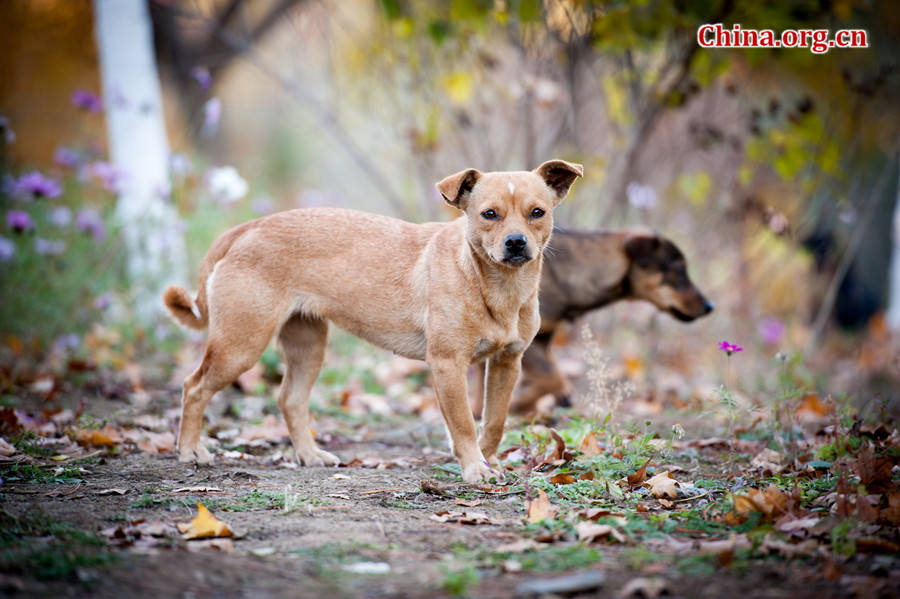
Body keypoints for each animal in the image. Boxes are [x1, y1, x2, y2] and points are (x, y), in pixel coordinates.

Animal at [162, 158, 584, 482]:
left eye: (537, 213)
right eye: (489, 215)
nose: (516, 243)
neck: (496, 286)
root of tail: (246, 229)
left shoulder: (507, 363)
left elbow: (494, 423)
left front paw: (488, 461)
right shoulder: (447, 365)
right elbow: (464, 424)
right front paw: (475, 470)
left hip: (307, 346)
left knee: (290, 399)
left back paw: (309, 455)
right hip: (241, 345)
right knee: (193, 387)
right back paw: (190, 450)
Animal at [472, 227, 712, 420]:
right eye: (678, 270)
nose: (709, 306)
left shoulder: (542, 339)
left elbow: (551, 377)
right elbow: (553, 379)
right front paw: (518, 404)